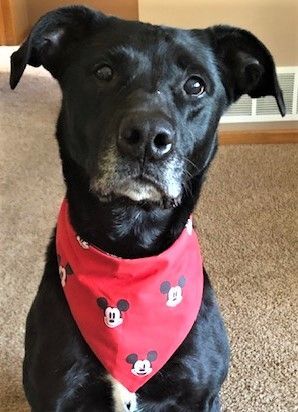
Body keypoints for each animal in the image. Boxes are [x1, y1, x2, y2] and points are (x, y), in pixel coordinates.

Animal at [9, 4, 284, 410]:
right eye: (103, 72)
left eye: (195, 85)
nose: (148, 137)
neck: (129, 250)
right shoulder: (55, 395)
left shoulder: (200, 395)